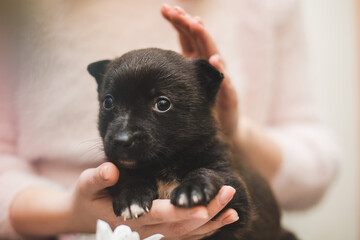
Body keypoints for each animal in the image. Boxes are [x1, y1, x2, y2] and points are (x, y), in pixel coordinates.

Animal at [88, 47, 298, 239]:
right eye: (108, 102)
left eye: (162, 104)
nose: (121, 140)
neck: (166, 164)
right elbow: (128, 175)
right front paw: (131, 196)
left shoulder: (238, 197)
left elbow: (211, 172)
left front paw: (192, 188)